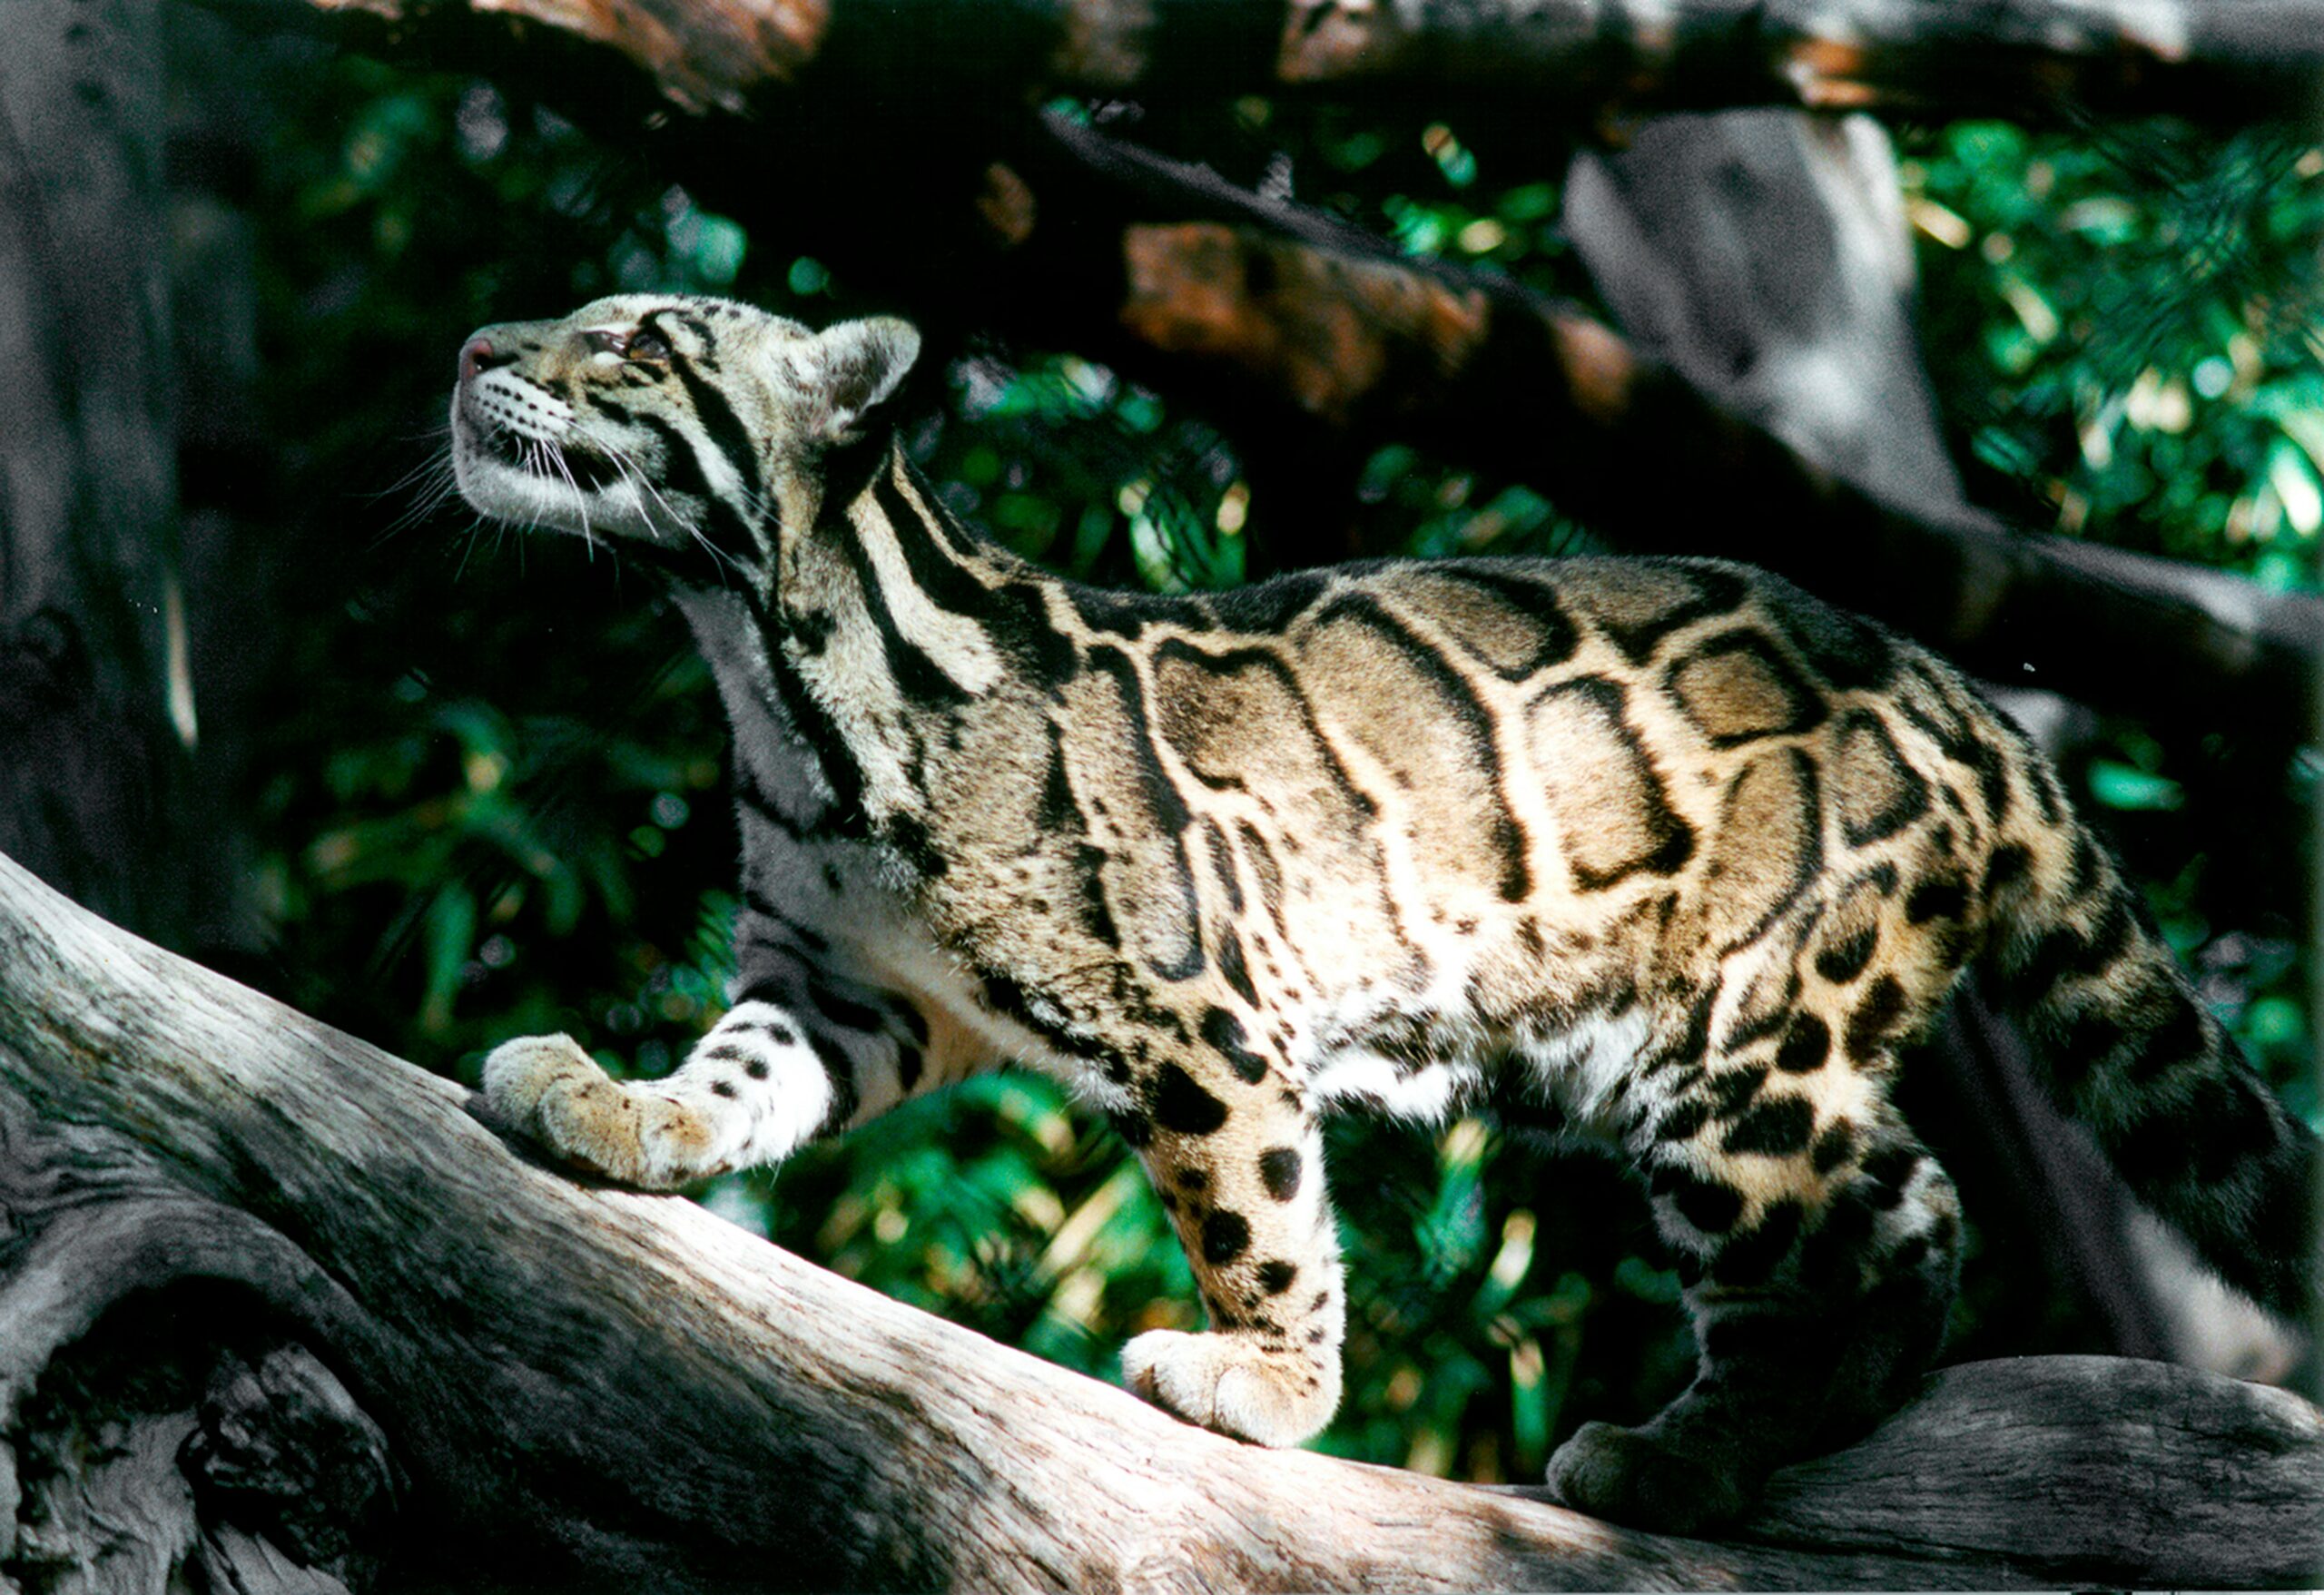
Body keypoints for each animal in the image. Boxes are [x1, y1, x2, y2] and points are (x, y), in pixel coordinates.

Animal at [447, 293, 2319, 1533]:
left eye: (637, 342)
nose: (471, 352)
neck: (773, 671)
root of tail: (1955, 689)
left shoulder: (1197, 1003)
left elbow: (1255, 1204)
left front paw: (1271, 1384)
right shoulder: (835, 982)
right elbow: (735, 1077)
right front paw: (620, 1108)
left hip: (1740, 1049)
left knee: (1853, 1236)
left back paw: (1687, 1451)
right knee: (1906, 1207)